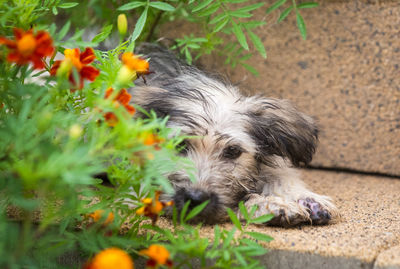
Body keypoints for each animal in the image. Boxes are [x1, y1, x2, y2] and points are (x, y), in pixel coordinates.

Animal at [131, 43, 338, 224]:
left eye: (233, 151)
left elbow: (279, 173)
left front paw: (306, 197)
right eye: (180, 144)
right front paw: (268, 204)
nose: (196, 198)